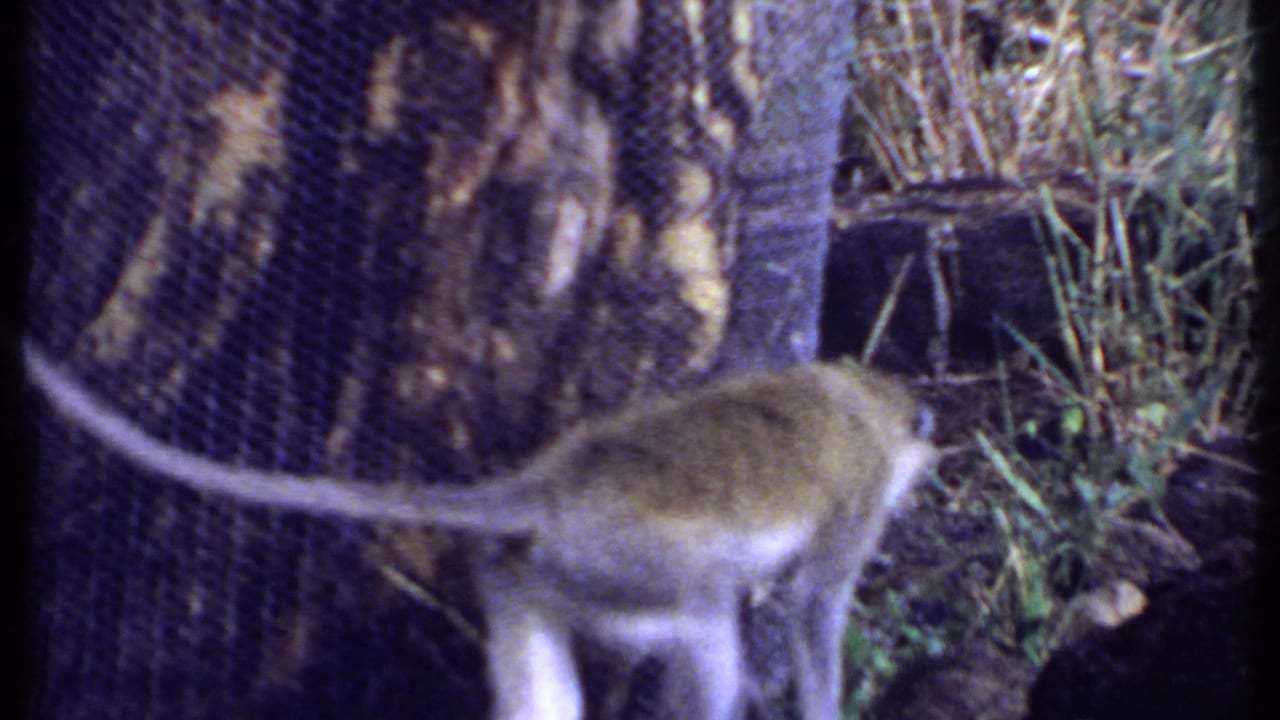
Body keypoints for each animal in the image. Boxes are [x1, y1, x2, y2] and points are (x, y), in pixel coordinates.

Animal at [23, 341, 937, 720]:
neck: (857, 400)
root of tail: (550, 487)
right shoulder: (856, 501)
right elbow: (816, 608)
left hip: (521, 576)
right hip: (625, 560)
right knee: (706, 618)